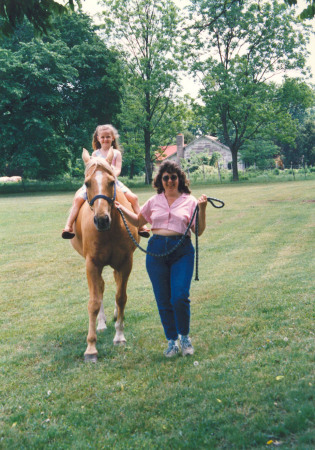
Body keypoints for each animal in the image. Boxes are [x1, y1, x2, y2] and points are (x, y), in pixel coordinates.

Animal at [73, 148, 139, 362]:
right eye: (87, 183)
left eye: (111, 182)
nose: (102, 219)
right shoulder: (92, 264)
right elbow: (94, 302)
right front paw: (91, 348)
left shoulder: (126, 262)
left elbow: (121, 296)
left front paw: (119, 336)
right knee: (100, 289)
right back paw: (101, 323)